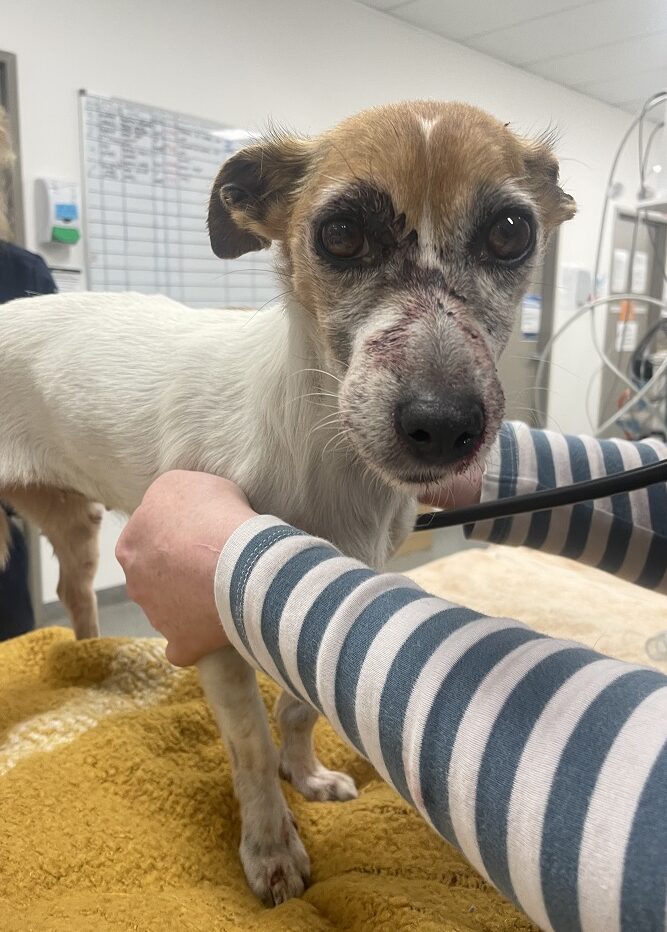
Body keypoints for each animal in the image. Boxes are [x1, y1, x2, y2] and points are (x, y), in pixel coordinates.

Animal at [0, 100, 575, 905]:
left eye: (511, 231)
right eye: (340, 233)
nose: (444, 426)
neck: (325, 459)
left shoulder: (332, 585)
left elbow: (300, 704)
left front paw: (304, 775)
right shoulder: (209, 631)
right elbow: (248, 749)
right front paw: (270, 847)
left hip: (74, 523)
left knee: (75, 592)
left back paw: (91, 659)